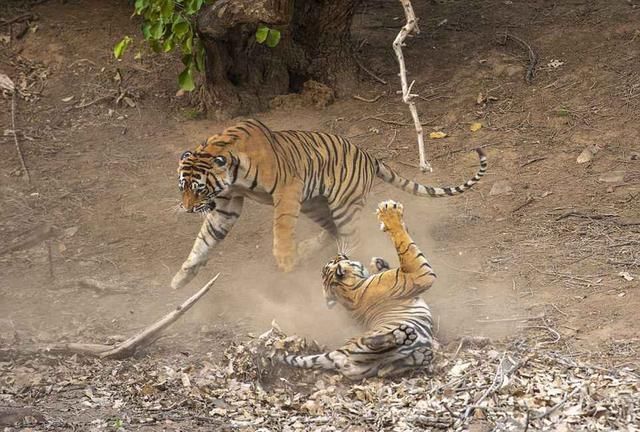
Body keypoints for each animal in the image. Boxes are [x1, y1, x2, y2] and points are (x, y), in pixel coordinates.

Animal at [173, 119, 487, 289]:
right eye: (182, 188)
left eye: (199, 189)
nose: (187, 209)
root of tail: (369, 156)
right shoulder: (226, 204)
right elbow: (205, 240)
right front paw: (181, 277)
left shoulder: (287, 190)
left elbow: (281, 228)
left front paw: (285, 260)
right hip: (315, 204)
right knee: (332, 231)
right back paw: (309, 251)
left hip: (341, 205)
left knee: (351, 237)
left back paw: (339, 264)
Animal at [273, 199, 436, 380]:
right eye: (335, 259)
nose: (338, 254)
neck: (349, 292)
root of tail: (337, 353)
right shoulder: (418, 274)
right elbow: (404, 244)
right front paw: (390, 215)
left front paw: (378, 262)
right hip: (364, 345)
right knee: (371, 342)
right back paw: (402, 335)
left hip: (370, 367)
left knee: (384, 370)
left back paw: (420, 355)